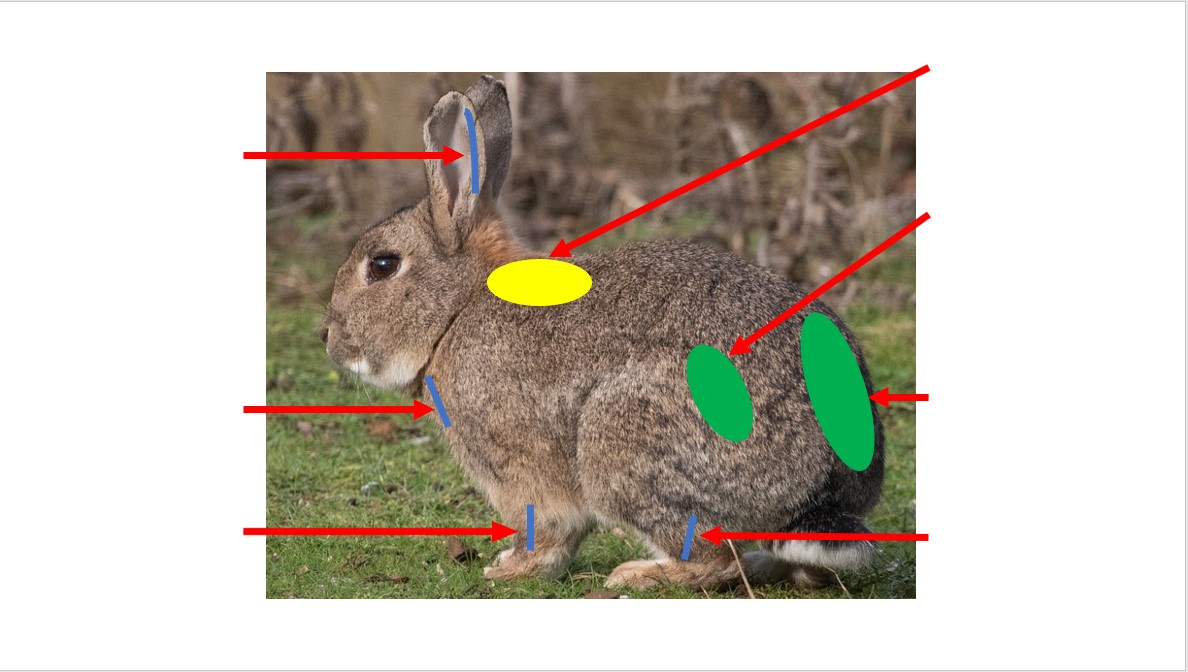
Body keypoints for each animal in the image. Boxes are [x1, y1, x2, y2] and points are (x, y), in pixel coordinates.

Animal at [320, 75, 885, 591]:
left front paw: (512, 569)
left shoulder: (519, 463)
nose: (328, 337)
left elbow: (547, 529)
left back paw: (638, 575)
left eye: (383, 265)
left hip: (621, 441)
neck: (458, 310)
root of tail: (823, 488)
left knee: (716, 559)